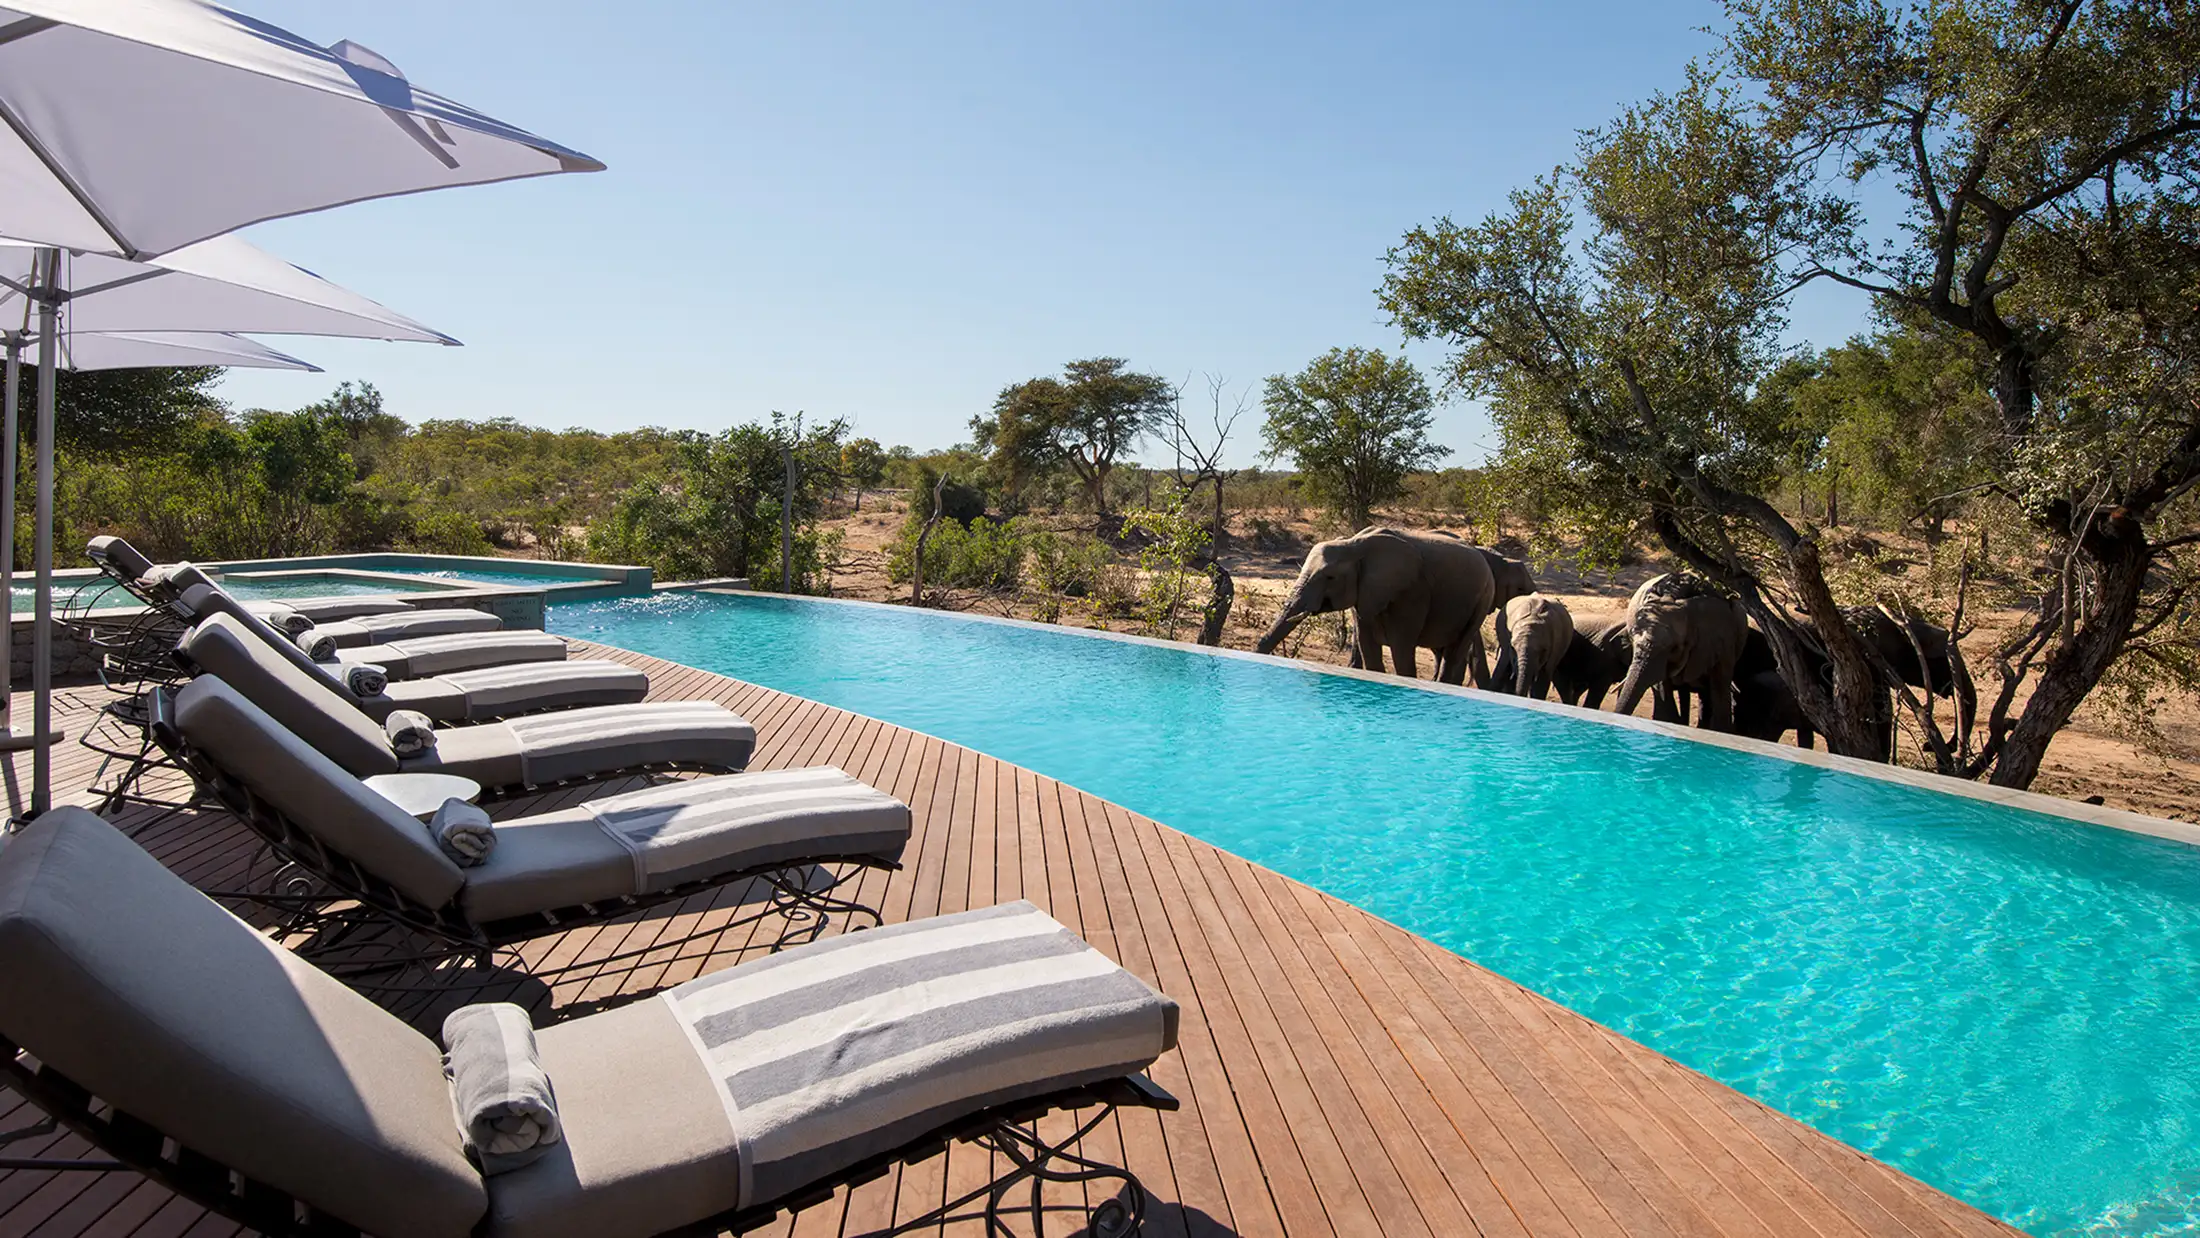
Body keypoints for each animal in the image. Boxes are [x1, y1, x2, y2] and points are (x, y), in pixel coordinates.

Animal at [1257, 527, 1497, 684]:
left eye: (1330, 577)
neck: (1355, 544)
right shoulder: (1365, 593)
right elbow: (1368, 646)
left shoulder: (1412, 591)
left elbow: (1401, 649)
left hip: (1483, 599)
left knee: (1455, 651)